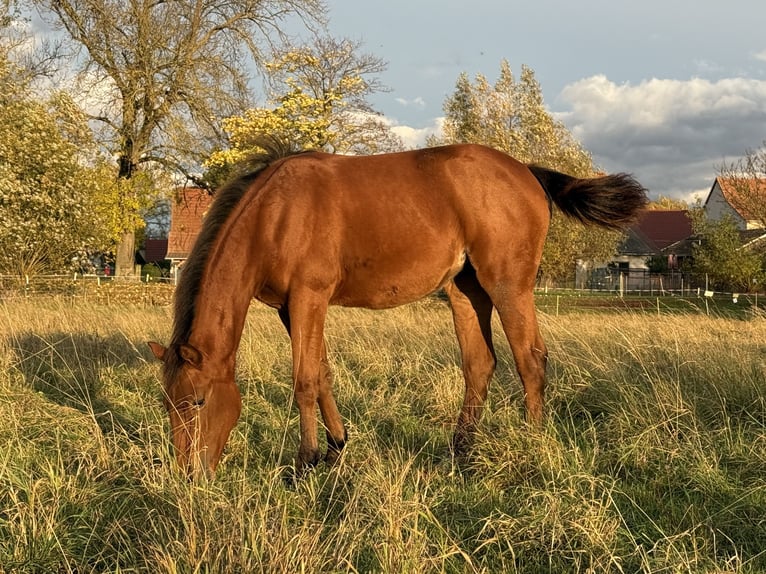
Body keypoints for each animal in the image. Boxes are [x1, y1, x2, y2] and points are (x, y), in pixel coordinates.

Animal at [148, 141, 647, 479]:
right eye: (167, 403)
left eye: (197, 401)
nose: (189, 475)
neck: (275, 213)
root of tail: (525, 170)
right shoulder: (291, 310)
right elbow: (322, 372)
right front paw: (336, 446)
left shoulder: (309, 298)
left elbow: (304, 379)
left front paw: (306, 462)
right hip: (465, 292)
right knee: (480, 364)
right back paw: (459, 451)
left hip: (508, 287)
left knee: (531, 360)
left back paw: (533, 443)